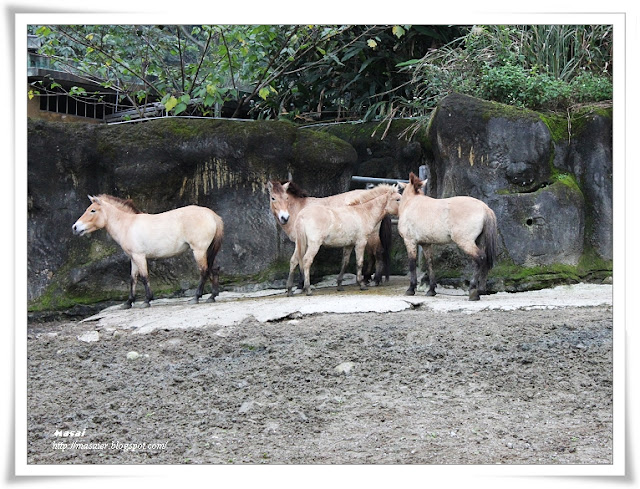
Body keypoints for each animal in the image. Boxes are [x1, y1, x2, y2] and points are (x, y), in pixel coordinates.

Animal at [70, 193, 222, 304]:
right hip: (207, 251)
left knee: (204, 271)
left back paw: (196, 297)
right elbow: (133, 278)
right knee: (213, 269)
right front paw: (129, 302)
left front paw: (147, 300)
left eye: (92, 210)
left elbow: (144, 277)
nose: (75, 227)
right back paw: (212, 296)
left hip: (199, 251)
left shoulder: (139, 256)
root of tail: (212, 215)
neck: (127, 224)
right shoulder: (133, 258)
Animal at [266, 181, 396, 284]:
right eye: (273, 198)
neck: (299, 209)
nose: (284, 217)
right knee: (372, 255)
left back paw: (376, 279)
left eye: (286, 198)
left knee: (377, 253)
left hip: (372, 236)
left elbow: (301, 259)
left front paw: (302, 284)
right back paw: (366, 278)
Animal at [398, 172, 498, 302]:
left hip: (465, 242)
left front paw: (411, 289)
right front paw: (431, 290)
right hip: (479, 241)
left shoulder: (410, 241)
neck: (411, 203)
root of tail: (485, 208)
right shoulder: (426, 244)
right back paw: (480, 290)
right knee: (484, 261)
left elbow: (412, 263)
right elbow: (430, 264)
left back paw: (473, 291)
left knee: (480, 258)